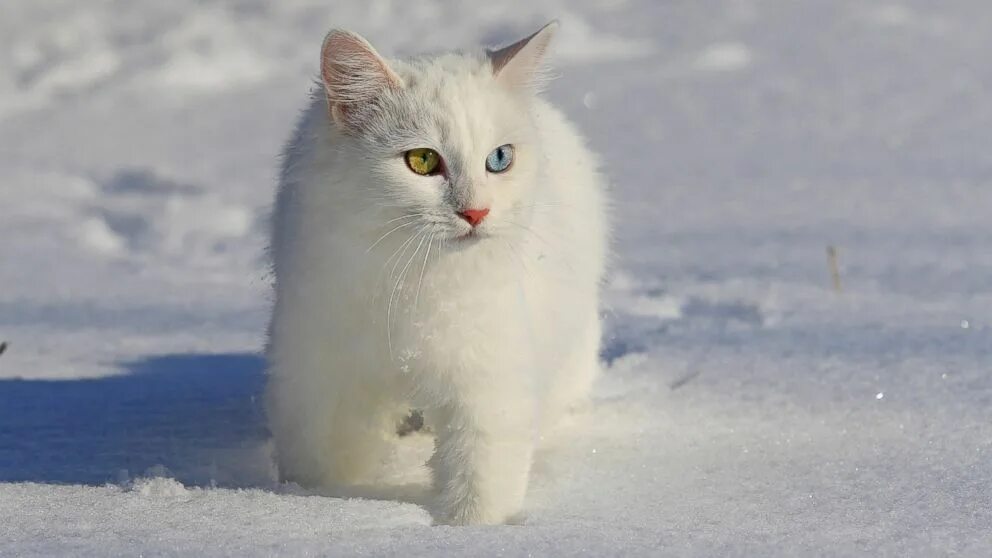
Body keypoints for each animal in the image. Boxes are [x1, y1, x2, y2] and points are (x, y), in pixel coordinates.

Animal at [264, 21, 608, 528]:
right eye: (422, 161)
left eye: (499, 159)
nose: (476, 212)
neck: (408, 280)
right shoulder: (317, 371)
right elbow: (320, 465)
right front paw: (323, 504)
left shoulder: (487, 378)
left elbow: (481, 477)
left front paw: (466, 528)